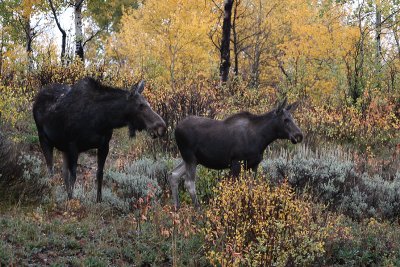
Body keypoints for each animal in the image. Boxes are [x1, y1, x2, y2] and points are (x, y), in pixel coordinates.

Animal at [32, 76, 166, 202]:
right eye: (140, 106)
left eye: (147, 103)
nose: (162, 126)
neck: (103, 119)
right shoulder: (73, 145)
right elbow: (73, 176)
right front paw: (72, 201)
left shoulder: (104, 145)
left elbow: (99, 173)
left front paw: (99, 200)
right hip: (43, 138)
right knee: (51, 169)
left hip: (63, 147)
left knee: (63, 171)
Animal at [169, 98, 304, 209]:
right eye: (285, 120)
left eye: (292, 118)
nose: (299, 135)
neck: (262, 139)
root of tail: (175, 129)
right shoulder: (236, 162)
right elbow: (233, 189)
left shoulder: (254, 164)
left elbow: (250, 188)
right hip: (190, 156)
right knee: (189, 183)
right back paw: (198, 211)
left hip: (193, 159)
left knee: (174, 174)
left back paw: (176, 208)